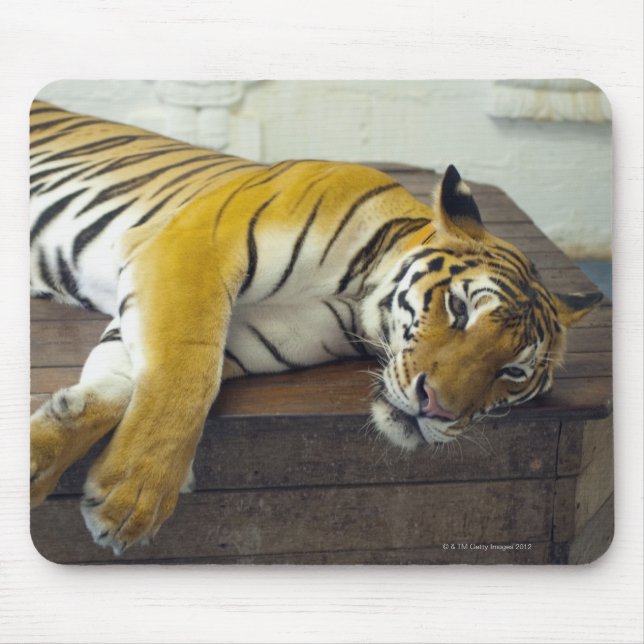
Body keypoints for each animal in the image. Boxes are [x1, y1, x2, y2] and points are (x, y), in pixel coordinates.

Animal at [29, 100, 602, 555]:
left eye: (512, 371)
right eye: (459, 309)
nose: (436, 408)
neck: (360, 299)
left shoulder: (246, 334)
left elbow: (126, 384)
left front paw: (51, 450)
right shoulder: (191, 249)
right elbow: (186, 378)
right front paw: (131, 502)